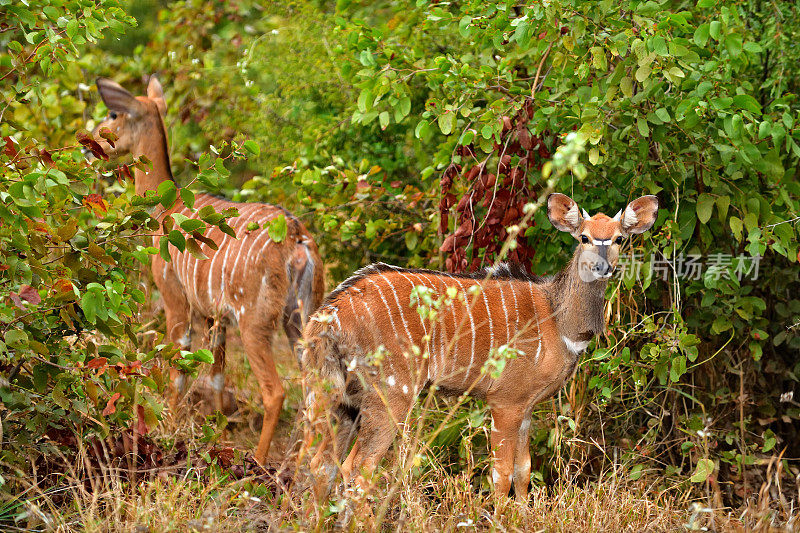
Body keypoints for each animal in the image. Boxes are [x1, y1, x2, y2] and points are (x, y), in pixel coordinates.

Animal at [94, 76, 328, 462]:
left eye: (114, 114)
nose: (91, 142)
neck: (166, 207)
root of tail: (297, 239)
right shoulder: (216, 314)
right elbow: (217, 371)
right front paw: (219, 430)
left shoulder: (177, 297)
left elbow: (178, 366)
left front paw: (170, 426)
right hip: (302, 316)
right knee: (317, 387)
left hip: (257, 320)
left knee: (276, 391)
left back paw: (260, 463)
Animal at [304, 192, 660, 498]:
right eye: (584, 237)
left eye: (619, 238)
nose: (603, 267)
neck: (558, 322)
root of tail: (330, 314)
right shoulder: (505, 401)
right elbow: (501, 475)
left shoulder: (527, 407)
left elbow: (524, 470)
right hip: (391, 394)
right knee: (357, 469)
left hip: (344, 398)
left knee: (322, 465)